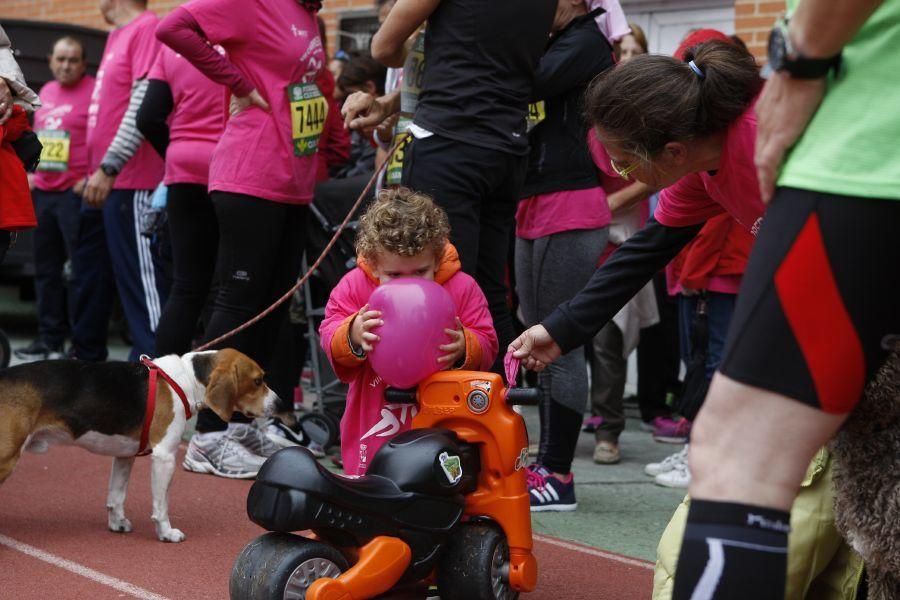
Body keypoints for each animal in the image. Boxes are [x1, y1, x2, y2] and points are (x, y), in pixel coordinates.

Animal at [0, 350, 278, 540]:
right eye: (258, 381)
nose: (280, 403)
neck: (186, 380)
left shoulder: (124, 456)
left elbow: (116, 496)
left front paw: (117, 524)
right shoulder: (164, 457)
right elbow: (161, 505)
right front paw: (166, 533)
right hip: (6, 458)